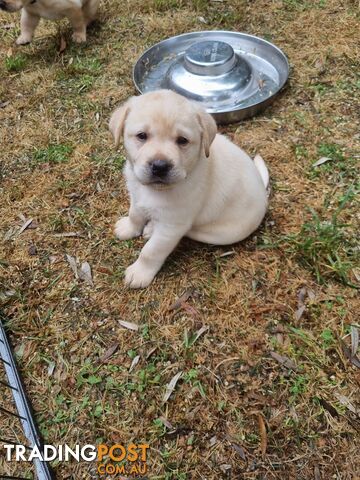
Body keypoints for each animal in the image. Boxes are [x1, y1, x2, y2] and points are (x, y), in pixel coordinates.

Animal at [109, 89, 270, 288]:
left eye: (182, 140)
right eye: (141, 136)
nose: (160, 166)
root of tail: (263, 190)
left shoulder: (172, 225)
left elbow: (151, 251)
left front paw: (140, 273)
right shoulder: (137, 196)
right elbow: (135, 214)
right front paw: (128, 227)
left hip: (220, 233)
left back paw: (152, 229)